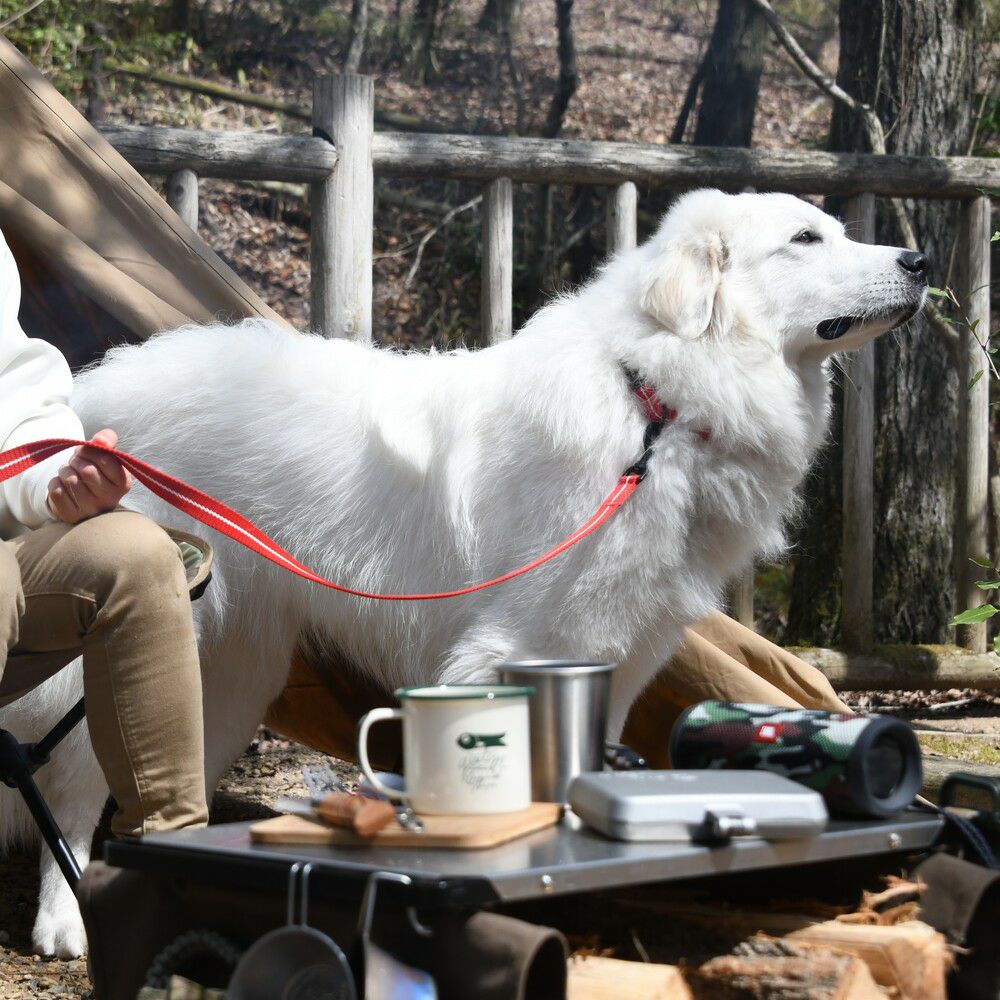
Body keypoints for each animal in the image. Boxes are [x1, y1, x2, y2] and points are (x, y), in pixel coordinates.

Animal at [0, 189, 927, 956]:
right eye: (806, 238)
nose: (920, 264)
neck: (653, 401)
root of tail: (86, 412)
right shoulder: (514, 645)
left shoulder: (622, 650)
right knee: (73, 783)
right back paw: (64, 923)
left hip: (227, 673)